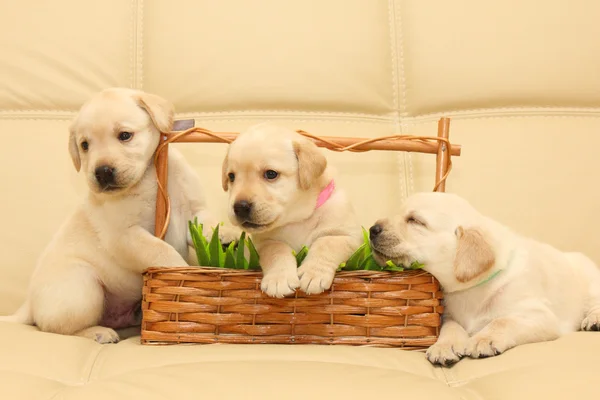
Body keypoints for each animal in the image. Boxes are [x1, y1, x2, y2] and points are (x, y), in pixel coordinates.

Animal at [0, 87, 237, 344]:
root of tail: (28, 305)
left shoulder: (193, 211)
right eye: (84, 145)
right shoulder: (125, 236)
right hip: (83, 286)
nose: (102, 172)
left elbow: (207, 223)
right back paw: (98, 332)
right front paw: (181, 275)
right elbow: (163, 251)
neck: (148, 176)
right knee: (54, 327)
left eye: (125, 135)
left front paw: (226, 234)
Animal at [220, 124, 360, 296]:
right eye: (231, 177)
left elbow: (326, 243)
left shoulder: (349, 236)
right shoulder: (264, 242)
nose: (240, 207)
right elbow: (277, 250)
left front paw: (313, 273)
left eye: (271, 174)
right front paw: (278, 279)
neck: (297, 219)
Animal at [370, 193, 600, 366]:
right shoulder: (448, 315)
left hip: (591, 283)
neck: (469, 290)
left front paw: (483, 339)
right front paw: (444, 346)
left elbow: (502, 320)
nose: (372, 229)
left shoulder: (539, 315)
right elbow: (451, 326)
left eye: (416, 221)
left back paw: (593, 320)